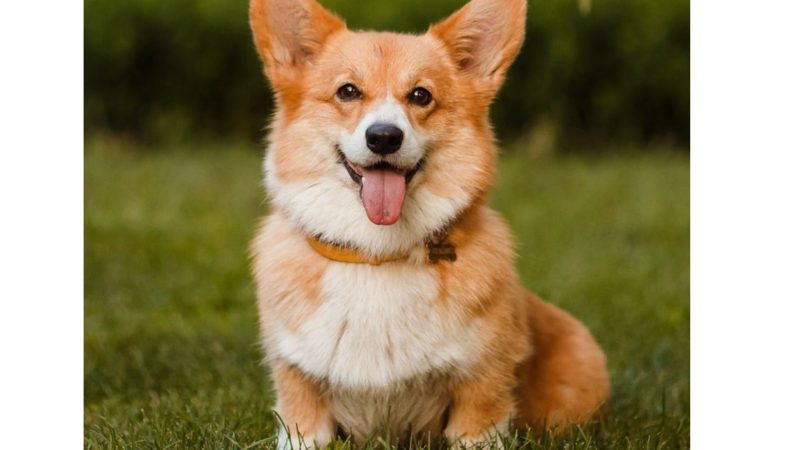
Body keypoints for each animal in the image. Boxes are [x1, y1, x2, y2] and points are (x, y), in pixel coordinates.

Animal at [247, 0, 608, 444]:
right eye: (347, 91)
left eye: (421, 95)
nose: (384, 137)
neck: (377, 254)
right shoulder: (299, 398)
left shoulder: (481, 397)